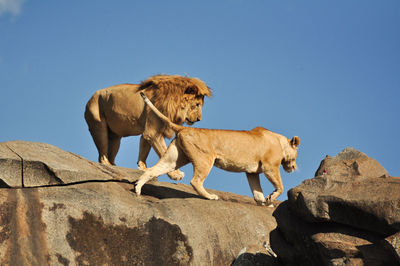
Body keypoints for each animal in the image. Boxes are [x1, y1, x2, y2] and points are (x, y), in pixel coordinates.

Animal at [84, 74, 212, 179]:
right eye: (197, 105)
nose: (199, 119)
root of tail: (90, 98)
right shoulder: (152, 131)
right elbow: (164, 153)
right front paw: (175, 174)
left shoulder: (149, 131)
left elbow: (144, 150)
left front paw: (143, 168)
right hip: (98, 123)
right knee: (102, 153)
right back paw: (107, 164)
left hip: (116, 136)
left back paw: (114, 165)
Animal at [134, 92, 300, 207]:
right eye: (296, 156)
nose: (294, 167)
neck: (280, 141)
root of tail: (183, 128)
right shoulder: (269, 166)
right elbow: (280, 186)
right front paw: (271, 198)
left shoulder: (251, 172)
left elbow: (257, 193)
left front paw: (265, 203)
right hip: (205, 159)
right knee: (195, 181)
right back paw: (210, 196)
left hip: (174, 159)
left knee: (152, 170)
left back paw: (137, 189)